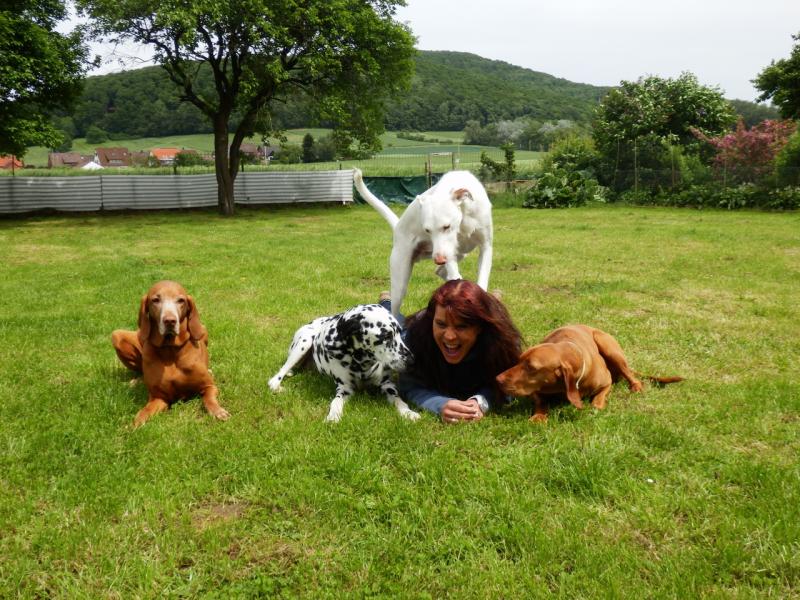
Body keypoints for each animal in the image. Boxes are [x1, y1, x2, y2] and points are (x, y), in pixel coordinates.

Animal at [110, 282, 228, 426]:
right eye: (155, 300)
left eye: (181, 300)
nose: (170, 321)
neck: (170, 349)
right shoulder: (159, 398)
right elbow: (144, 412)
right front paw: (134, 424)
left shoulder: (209, 386)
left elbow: (209, 399)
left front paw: (218, 411)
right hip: (117, 335)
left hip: (203, 330)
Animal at [268, 304, 418, 422]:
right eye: (386, 336)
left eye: (399, 332)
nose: (412, 361)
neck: (361, 363)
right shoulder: (344, 388)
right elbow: (335, 402)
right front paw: (333, 416)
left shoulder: (387, 384)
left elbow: (399, 400)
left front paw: (408, 412)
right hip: (304, 343)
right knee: (278, 374)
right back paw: (277, 385)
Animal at [496, 324, 680, 422]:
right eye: (519, 360)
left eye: (531, 368)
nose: (497, 379)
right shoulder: (535, 390)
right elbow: (541, 401)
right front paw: (539, 416)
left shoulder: (606, 383)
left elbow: (598, 400)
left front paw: (596, 404)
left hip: (607, 345)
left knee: (631, 375)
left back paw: (635, 386)